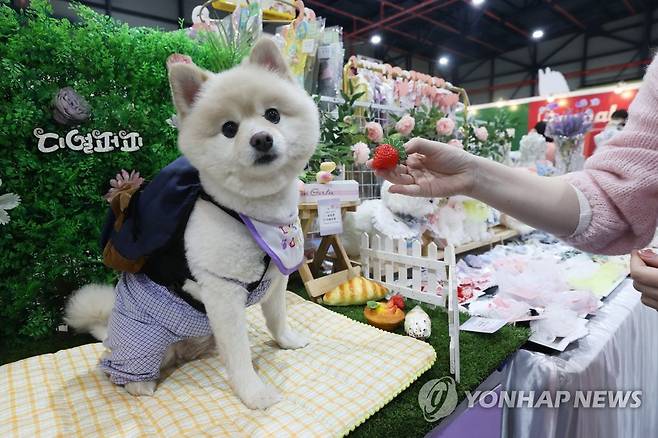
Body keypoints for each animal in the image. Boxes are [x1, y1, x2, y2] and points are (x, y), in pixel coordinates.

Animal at [64, 38, 318, 410]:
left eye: (273, 115)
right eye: (229, 129)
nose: (261, 139)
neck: (256, 216)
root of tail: (109, 333)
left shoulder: (276, 277)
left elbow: (276, 318)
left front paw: (287, 341)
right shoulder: (223, 290)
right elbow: (239, 352)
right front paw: (253, 393)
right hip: (143, 337)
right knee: (120, 368)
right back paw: (141, 384)